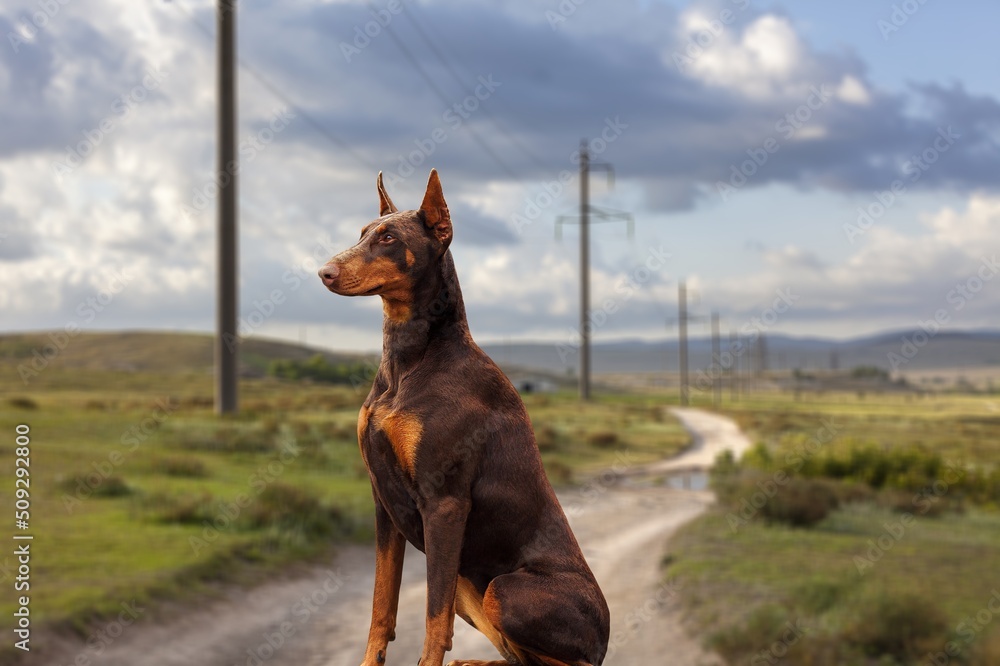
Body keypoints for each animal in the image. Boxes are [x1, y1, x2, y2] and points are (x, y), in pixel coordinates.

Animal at [320, 170, 608, 664]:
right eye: (361, 234)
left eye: (389, 238)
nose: (325, 271)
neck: (408, 360)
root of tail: (605, 640)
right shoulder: (383, 501)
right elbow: (381, 605)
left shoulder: (445, 502)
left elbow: (433, 618)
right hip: (470, 586)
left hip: (503, 590)